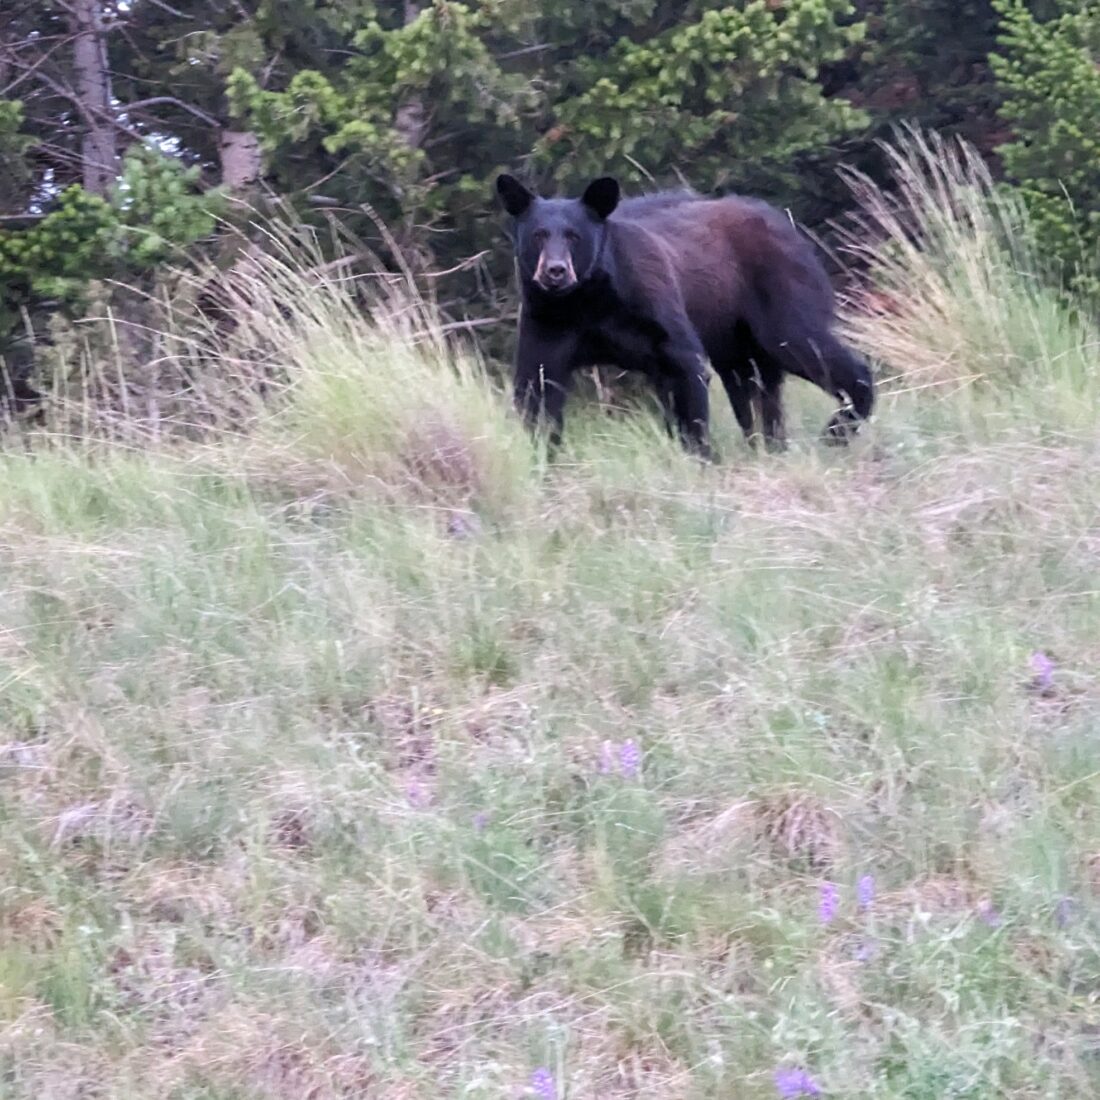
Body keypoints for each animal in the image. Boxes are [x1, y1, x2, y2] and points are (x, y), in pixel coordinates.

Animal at [499, 173, 875, 457]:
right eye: (538, 235)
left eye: (574, 236)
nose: (555, 271)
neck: (587, 301)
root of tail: (783, 222)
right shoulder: (548, 323)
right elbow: (537, 387)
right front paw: (544, 458)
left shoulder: (654, 306)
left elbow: (684, 369)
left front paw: (700, 456)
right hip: (730, 334)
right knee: (751, 386)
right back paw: (769, 445)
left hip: (777, 293)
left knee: (804, 343)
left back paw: (837, 429)